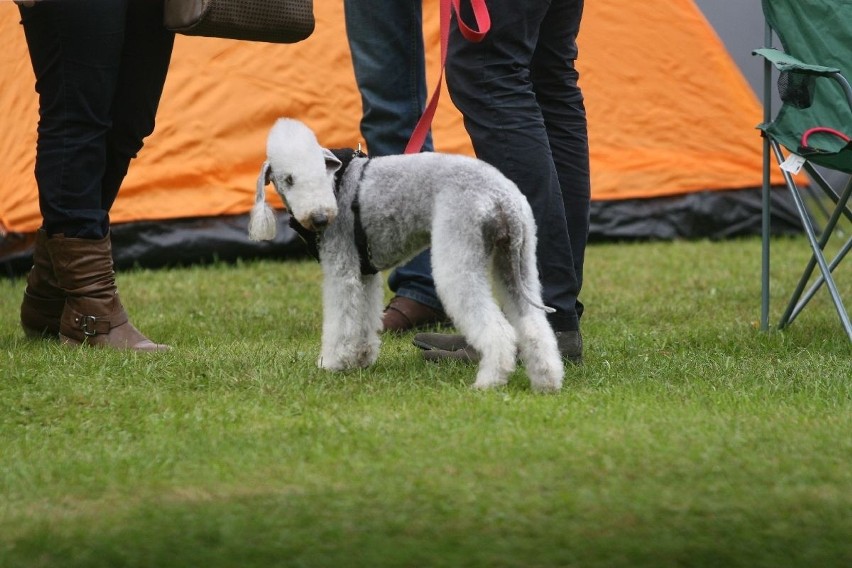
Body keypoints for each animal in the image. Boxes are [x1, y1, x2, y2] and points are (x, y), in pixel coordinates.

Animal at [250, 117, 564, 388]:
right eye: (289, 179)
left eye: (320, 172)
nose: (320, 218)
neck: (336, 185)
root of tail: (500, 197)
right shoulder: (364, 274)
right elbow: (364, 317)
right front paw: (361, 358)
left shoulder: (342, 270)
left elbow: (341, 320)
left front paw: (332, 363)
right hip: (517, 258)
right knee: (533, 324)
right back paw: (547, 380)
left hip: (459, 255)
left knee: (499, 331)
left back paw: (489, 382)